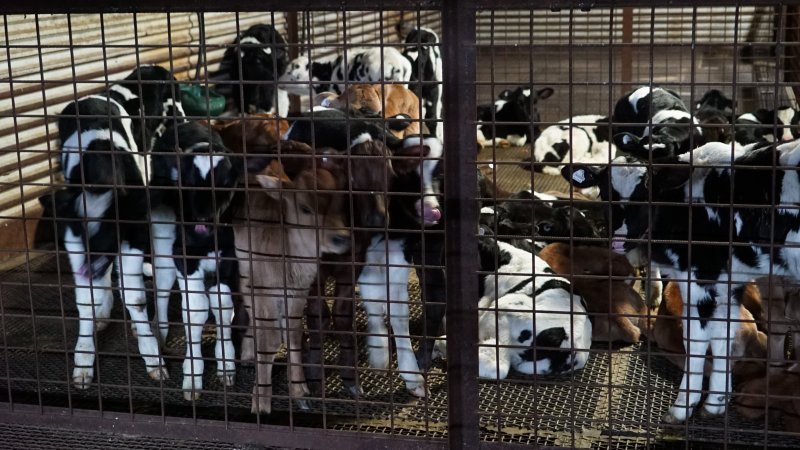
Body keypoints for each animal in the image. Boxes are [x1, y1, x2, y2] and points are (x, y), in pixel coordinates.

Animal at [148, 121, 239, 400]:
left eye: (225, 182)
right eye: (187, 182)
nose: (203, 219)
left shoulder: (230, 256)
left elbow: (222, 306)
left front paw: (226, 365)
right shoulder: (183, 258)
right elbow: (195, 310)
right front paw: (192, 376)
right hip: (163, 235)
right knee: (162, 285)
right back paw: (159, 331)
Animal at [564, 140, 800, 422]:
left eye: (647, 189)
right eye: (604, 190)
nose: (620, 241)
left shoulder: (700, 278)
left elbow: (696, 340)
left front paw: (683, 405)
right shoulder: (727, 282)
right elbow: (723, 334)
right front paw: (716, 402)